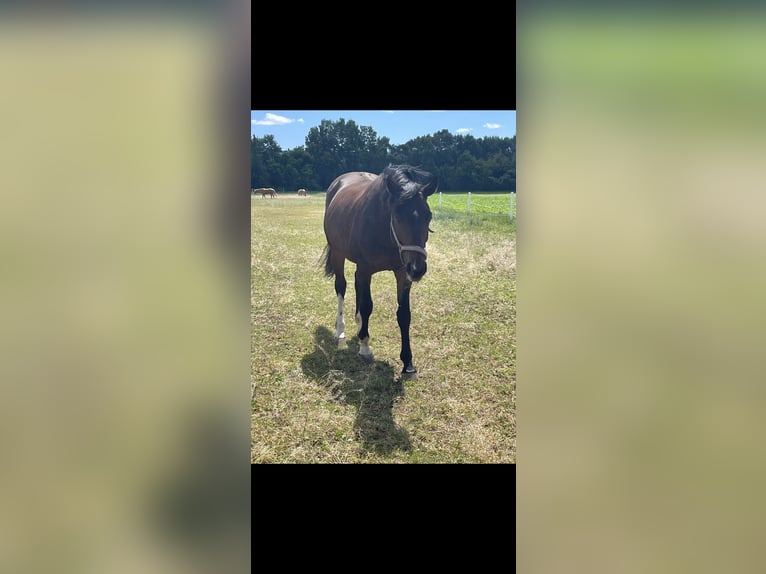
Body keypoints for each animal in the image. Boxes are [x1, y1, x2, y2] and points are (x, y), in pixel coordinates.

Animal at [320, 164, 438, 378]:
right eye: (398, 216)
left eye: (429, 216)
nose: (417, 269)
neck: (384, 230)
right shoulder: (365, 270)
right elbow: (367, 305)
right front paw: (365, 347)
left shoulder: (402, 274)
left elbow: (404, 315)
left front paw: (408, 363)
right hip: (338, 254)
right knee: (341, 287)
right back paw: (340, 331)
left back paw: (359, 324)